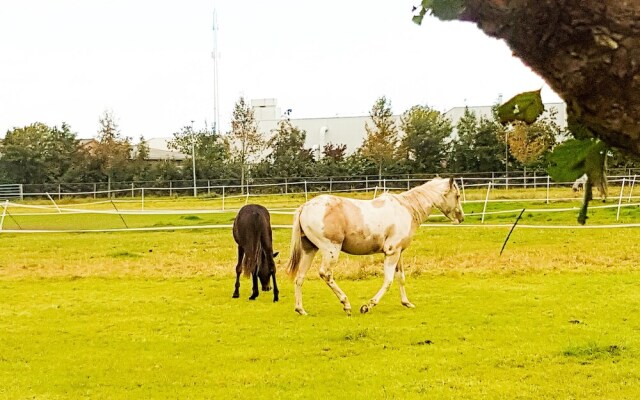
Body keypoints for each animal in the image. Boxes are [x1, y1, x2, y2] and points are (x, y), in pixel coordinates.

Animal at [288, 177, 462, 316]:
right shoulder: (391, 252)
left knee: (300, 277)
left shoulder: (398, 253)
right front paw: (367, 306)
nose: (461, 217)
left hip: (309, 250)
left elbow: (401, 278)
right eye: (458, 195)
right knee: (326, 274)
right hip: (331, 250)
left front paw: (407, 303)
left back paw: (300, 309)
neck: (406, 209)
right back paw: (346, 304)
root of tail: (305, 207)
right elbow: (388, 281)